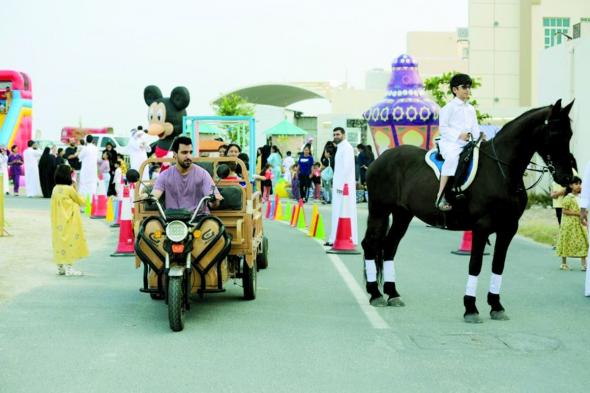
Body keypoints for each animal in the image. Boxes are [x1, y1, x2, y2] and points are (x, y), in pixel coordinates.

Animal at [364, 99, 576, 324]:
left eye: (570, 134)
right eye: (553, 133)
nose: (567, 178)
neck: (502, 171)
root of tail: (381, 158)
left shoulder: (508, 229)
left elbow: (498, 265)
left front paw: (496, 306)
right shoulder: (482, 227)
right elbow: (475, 264)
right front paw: (471, 308)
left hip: (402, 215)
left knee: (389, 246)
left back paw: (392, 294)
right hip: (378, 210)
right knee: (370, 244)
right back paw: (375, 294)